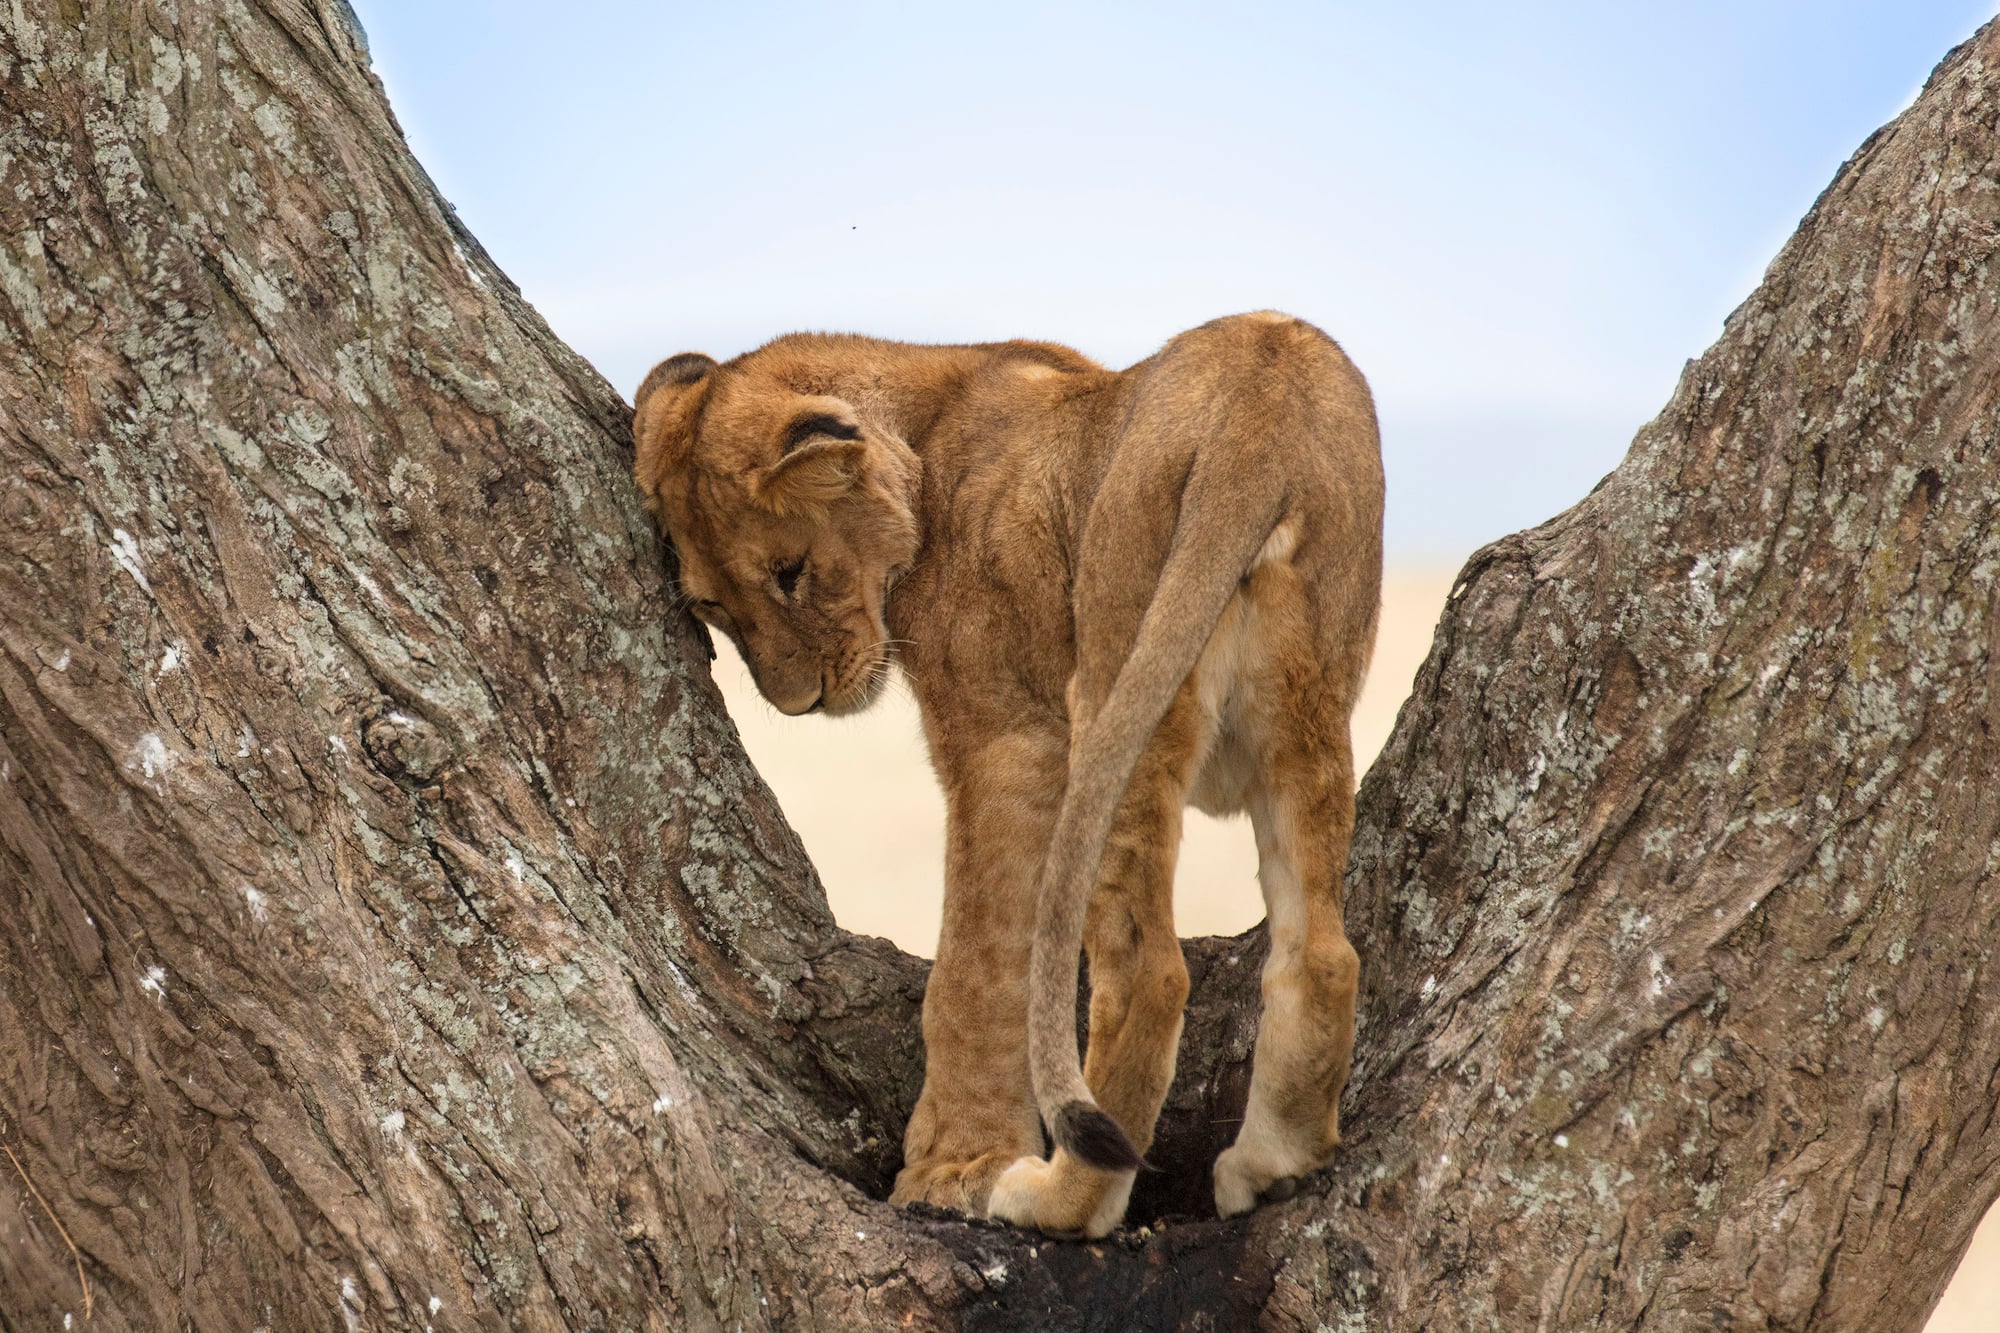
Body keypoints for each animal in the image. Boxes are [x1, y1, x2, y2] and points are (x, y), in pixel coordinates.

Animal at [632, 313, 1382, 1238]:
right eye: (710, 606)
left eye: (790, 572)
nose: (798, 702)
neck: (929, 419)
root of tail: (1260, 420)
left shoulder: (1009, 738)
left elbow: (976, 967)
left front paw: (952, 1166)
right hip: (1306, 700)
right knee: (1323, 952)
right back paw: (1272, 1165)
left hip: (1113, 677)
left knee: (1148, 973)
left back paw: (1054, 1198)